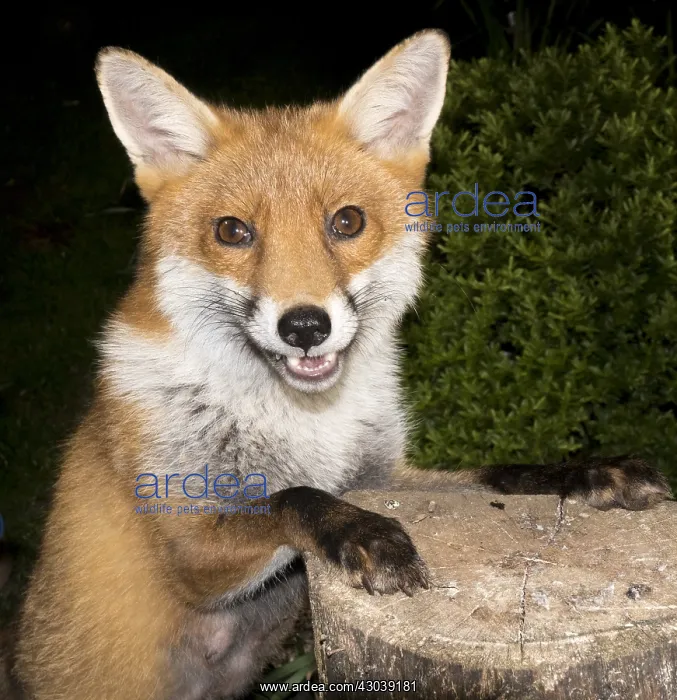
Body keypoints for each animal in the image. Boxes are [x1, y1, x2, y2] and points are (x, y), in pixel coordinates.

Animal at [13, 29, 671, 700]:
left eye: (346, 221)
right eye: (232, 232)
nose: (305, 327)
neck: (308, 420)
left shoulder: (381, 477)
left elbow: (496, 475)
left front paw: (587, 471)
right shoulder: (185, 545)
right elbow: (292, 497)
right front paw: (364, 535)